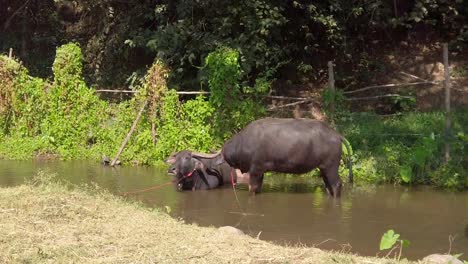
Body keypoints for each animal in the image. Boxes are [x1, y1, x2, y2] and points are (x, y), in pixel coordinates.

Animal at [222, 118, 352, 198]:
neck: (243, 144)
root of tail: (336, 135)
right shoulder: (261, 172)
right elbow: (258, 188)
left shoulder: (255, 169)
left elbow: (252, 188)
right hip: (323, 168)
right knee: (328, 187)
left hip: (331, 166)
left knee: (337, 185)